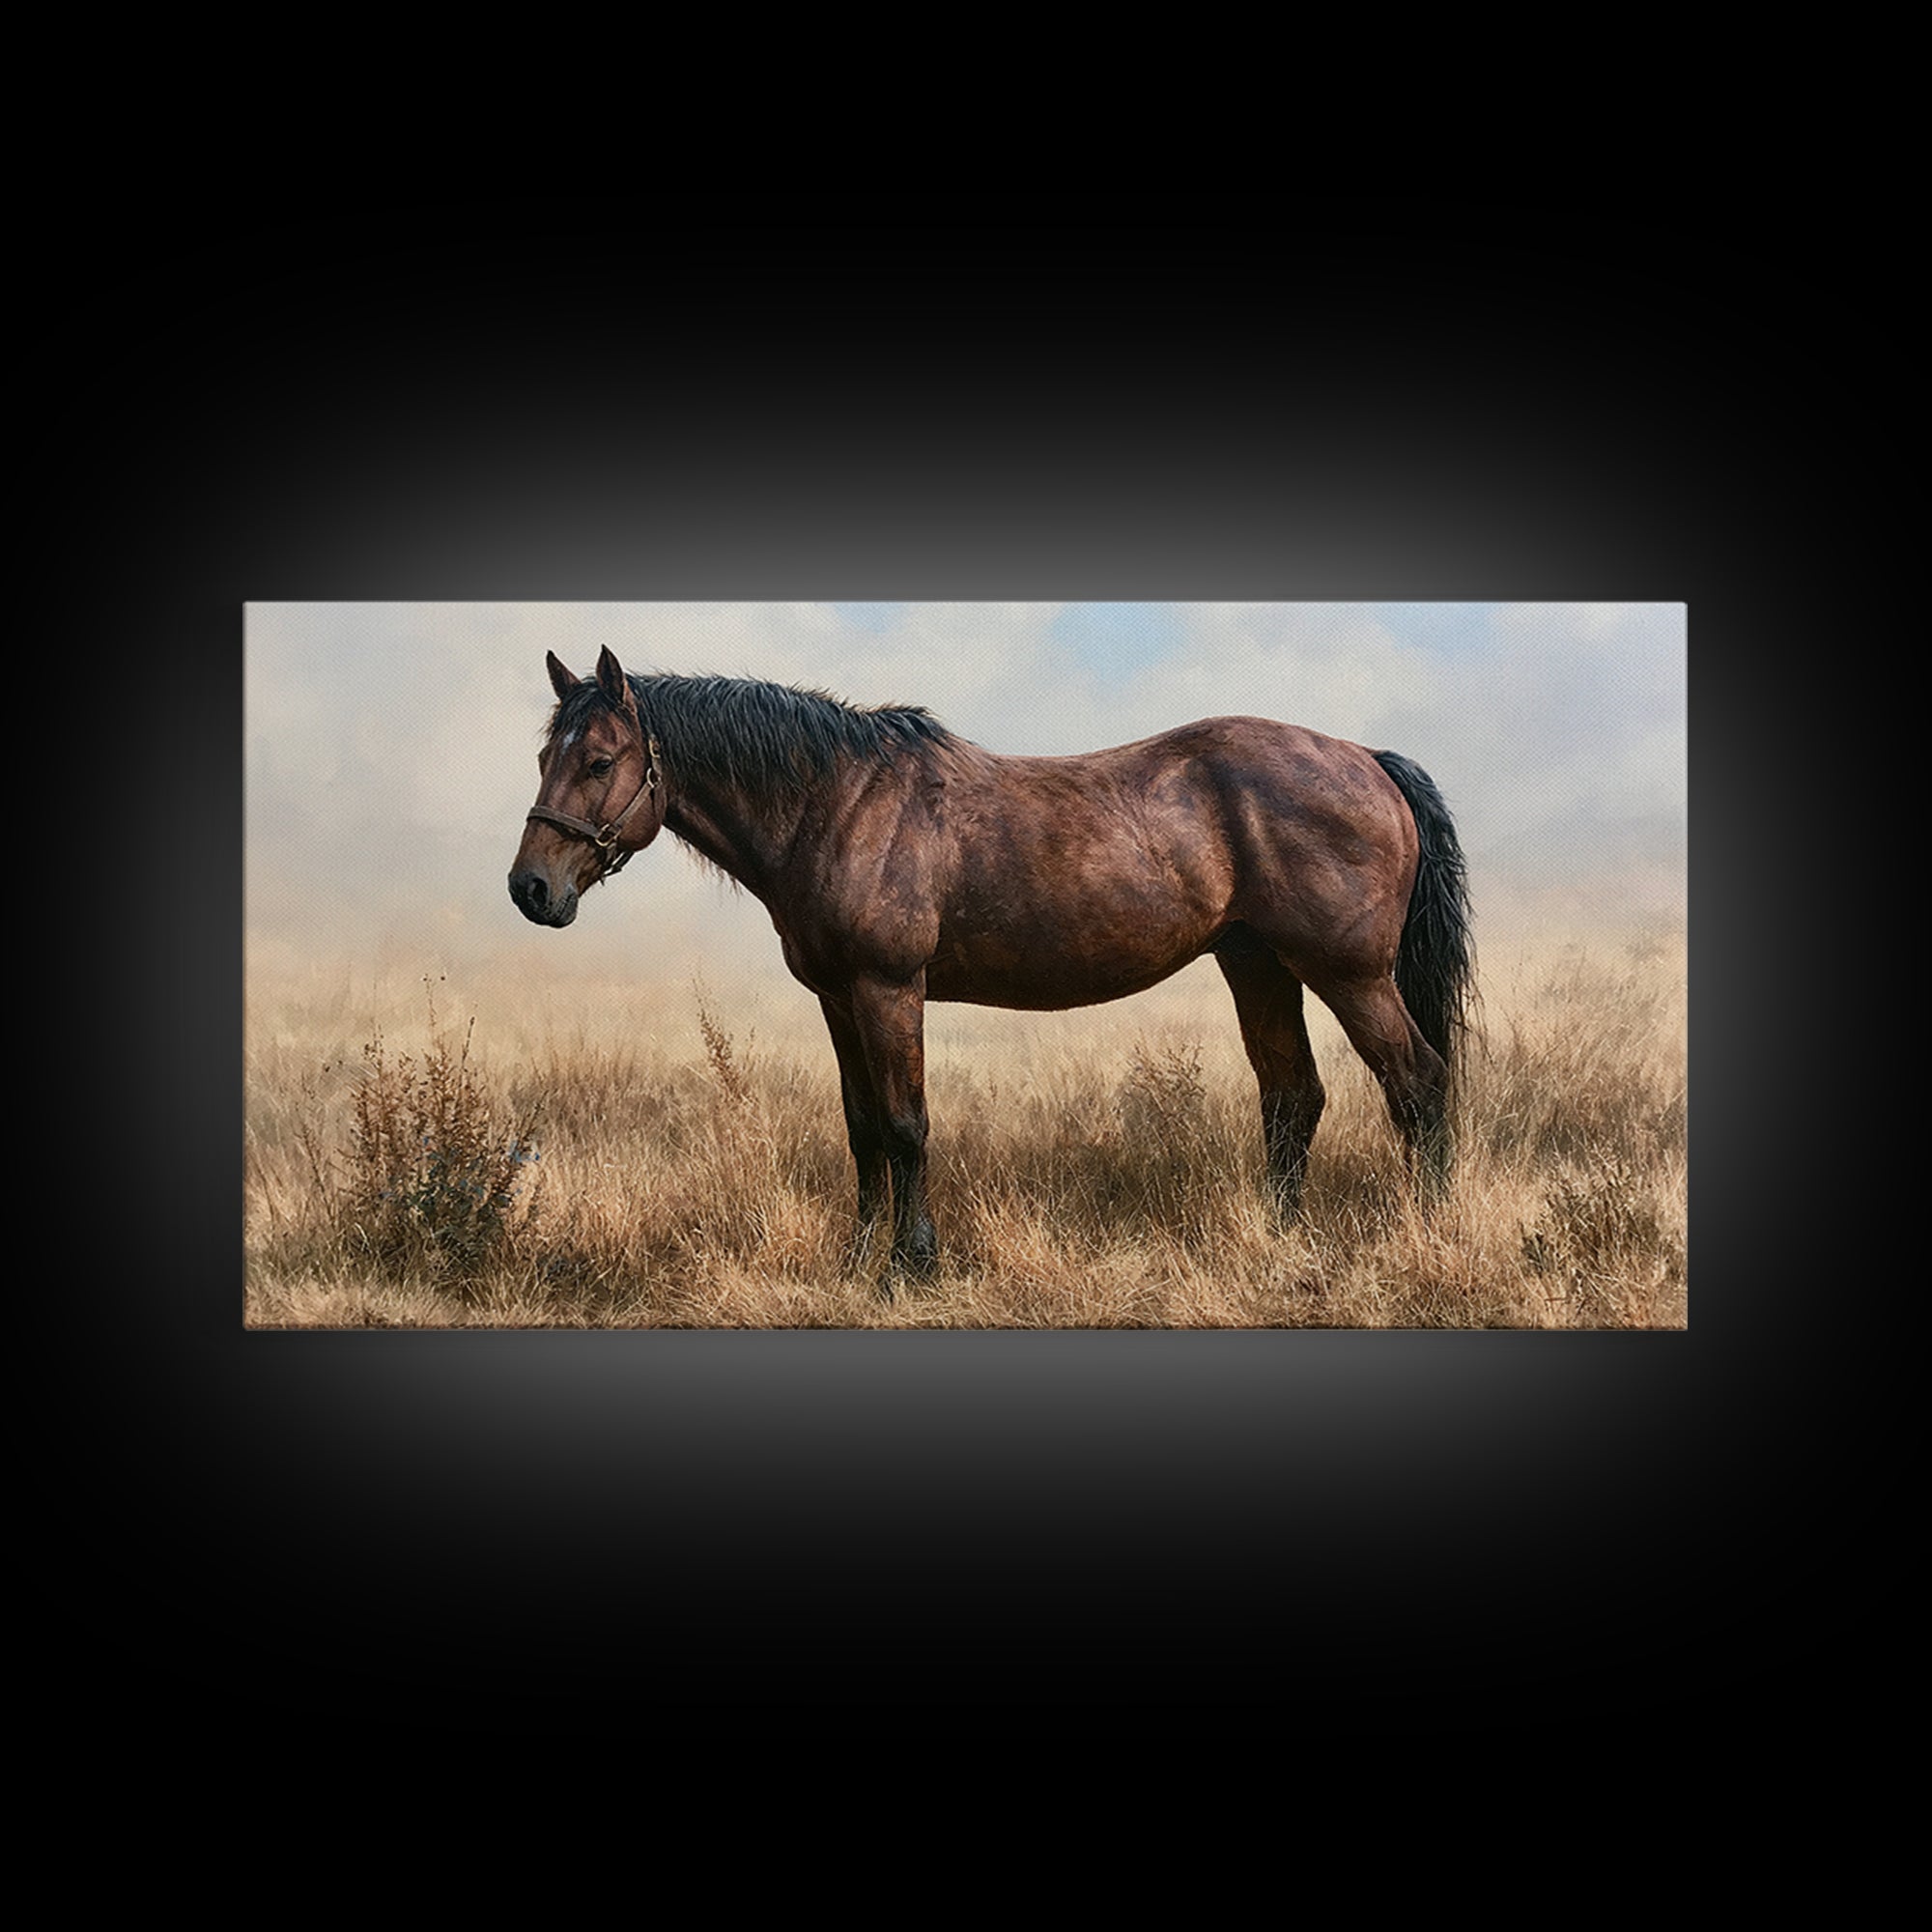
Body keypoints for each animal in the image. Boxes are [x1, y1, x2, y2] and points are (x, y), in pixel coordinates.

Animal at [509, 646, 1475, 1286]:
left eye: (599, 760)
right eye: (545, 755)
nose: (531, 888)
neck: (838, 803)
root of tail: (1368, 760)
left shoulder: (888, 991)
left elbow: (906, 1126)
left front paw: (912, 1266)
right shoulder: (837, 1000)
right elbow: (863, 1130)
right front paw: (856, 1263)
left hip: (1348, 974)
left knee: (1418, 1083)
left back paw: (1423, 1232)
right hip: (1259, 966)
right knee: (1292, 1099)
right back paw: (1277, 1240)